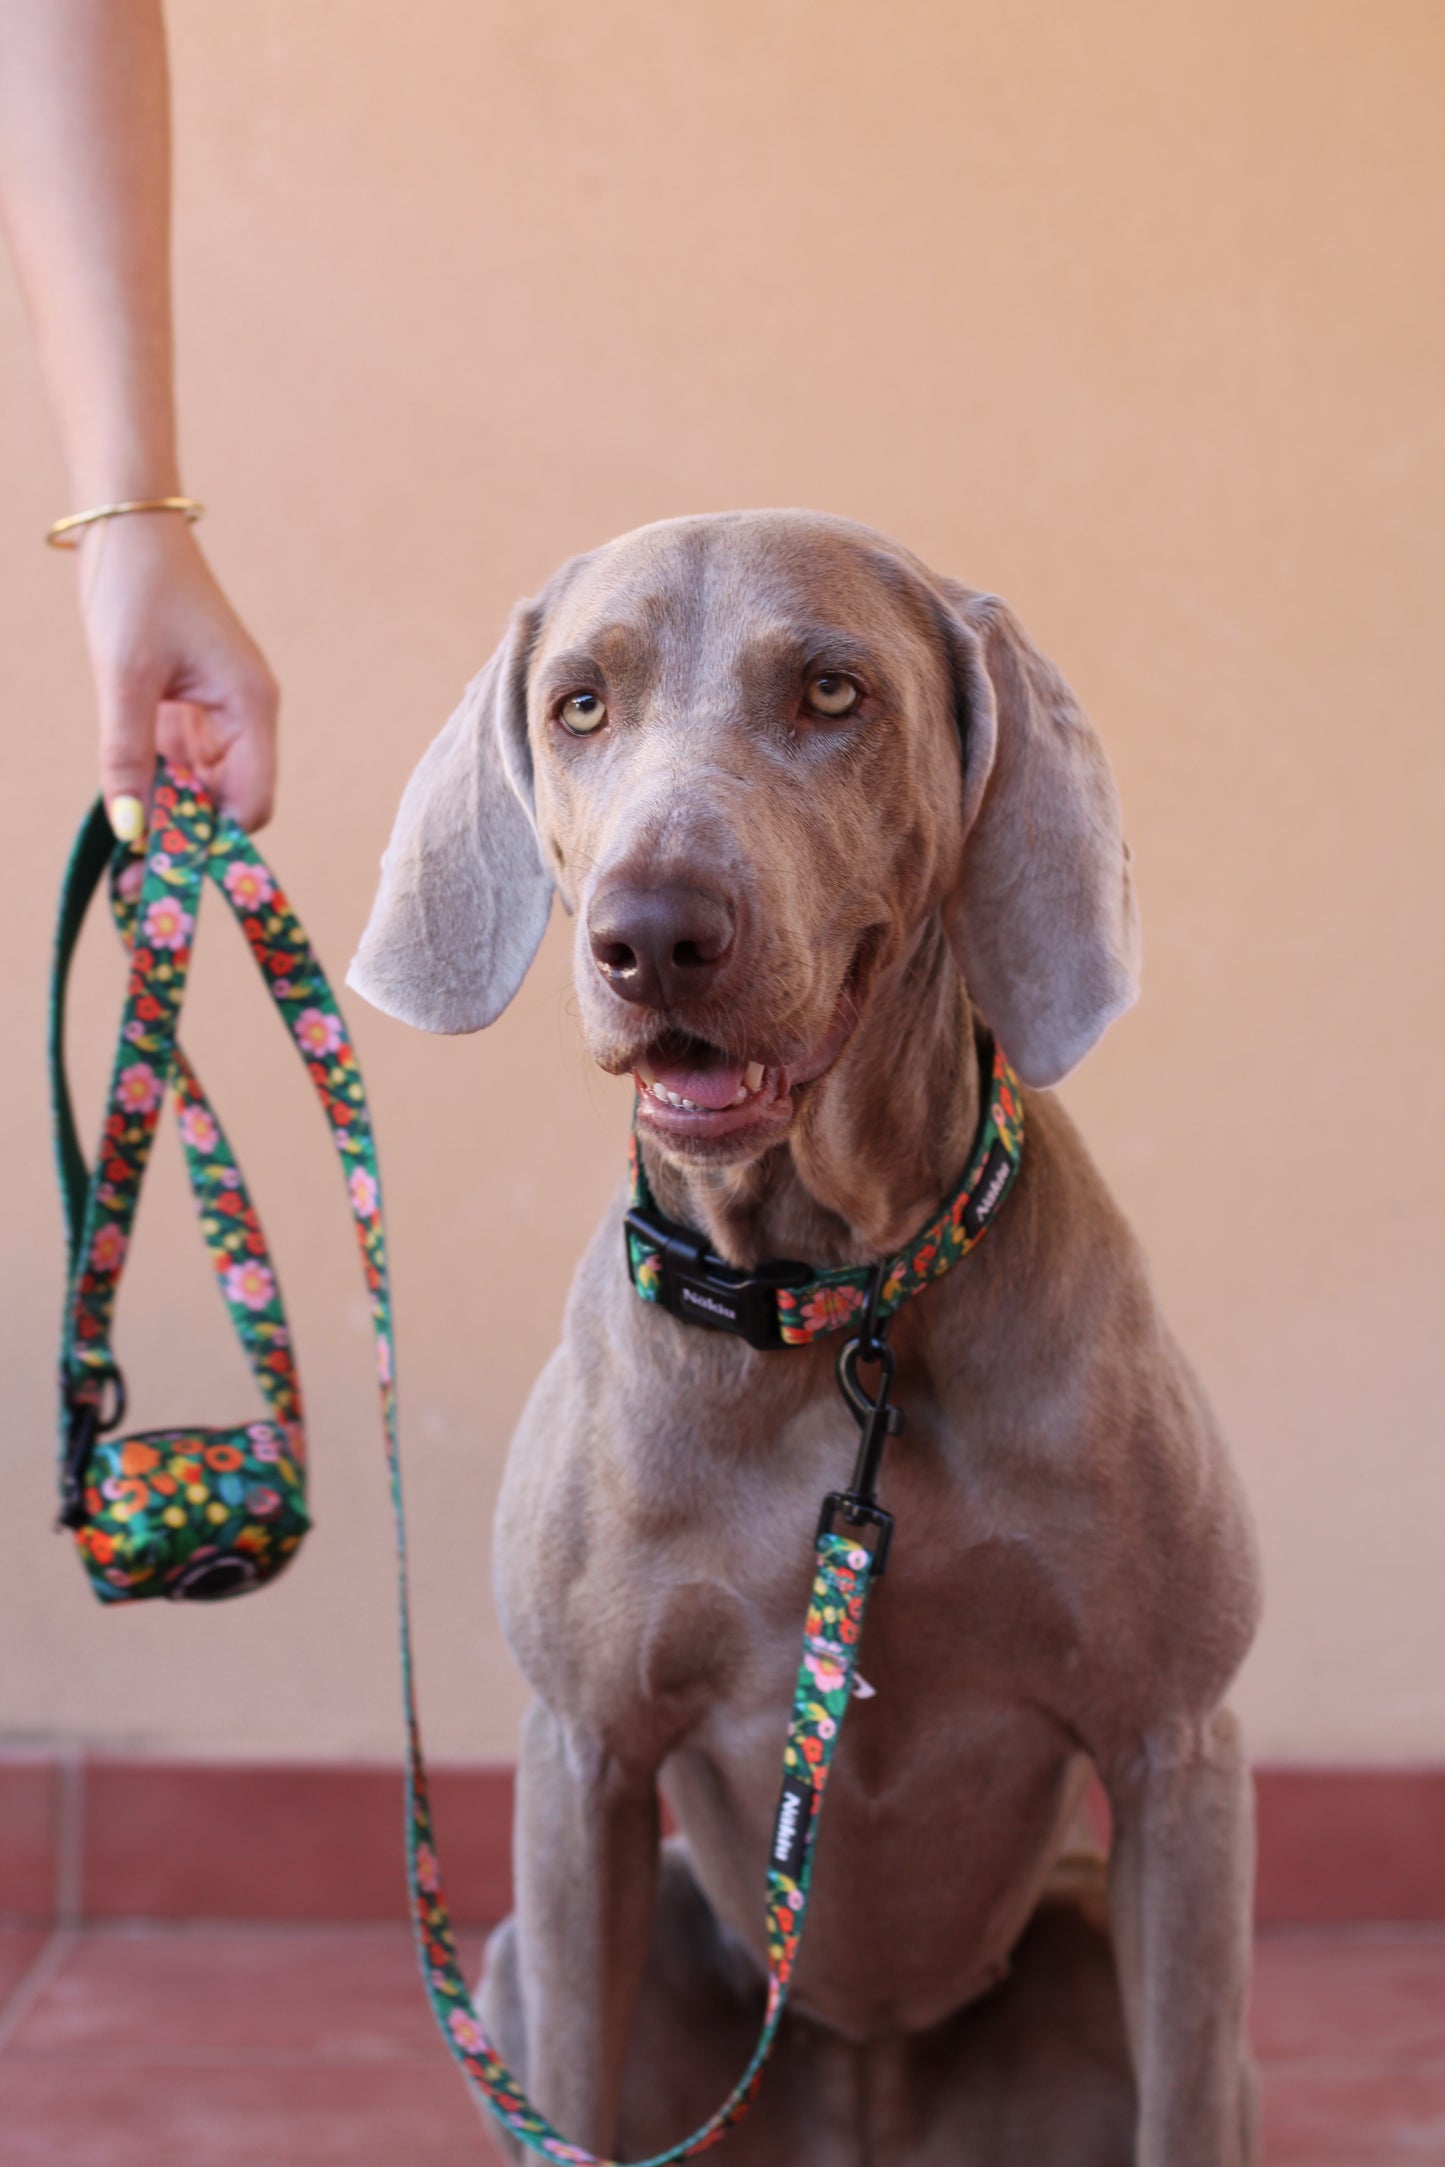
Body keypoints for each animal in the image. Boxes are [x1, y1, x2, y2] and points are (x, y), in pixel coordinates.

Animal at [344, 511, 1256, 2167]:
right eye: (582, 704)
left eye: (833, 693)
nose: (654, 934)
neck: (831, 1304)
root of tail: (859, 2095)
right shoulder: (582, 1757)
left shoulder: (1179, 1746)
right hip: (536, 1955)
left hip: (1094, 1935)